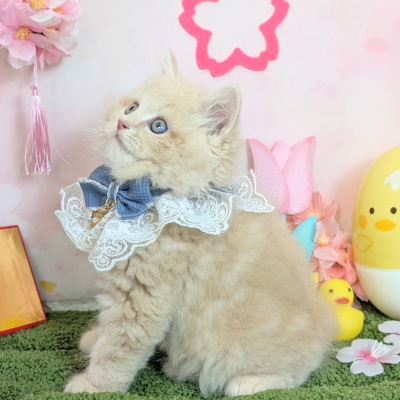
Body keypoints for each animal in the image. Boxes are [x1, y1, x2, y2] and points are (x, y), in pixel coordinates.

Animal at [64, 53, 337, 397]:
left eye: (158, 126)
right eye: (131, 107)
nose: (121, 123)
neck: (153, 196)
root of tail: (323, 337)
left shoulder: (141, 298)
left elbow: (118, 348)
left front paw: (92, 385)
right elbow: (107, 331)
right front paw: (93, 339)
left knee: (294, 375)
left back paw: (248, 383)